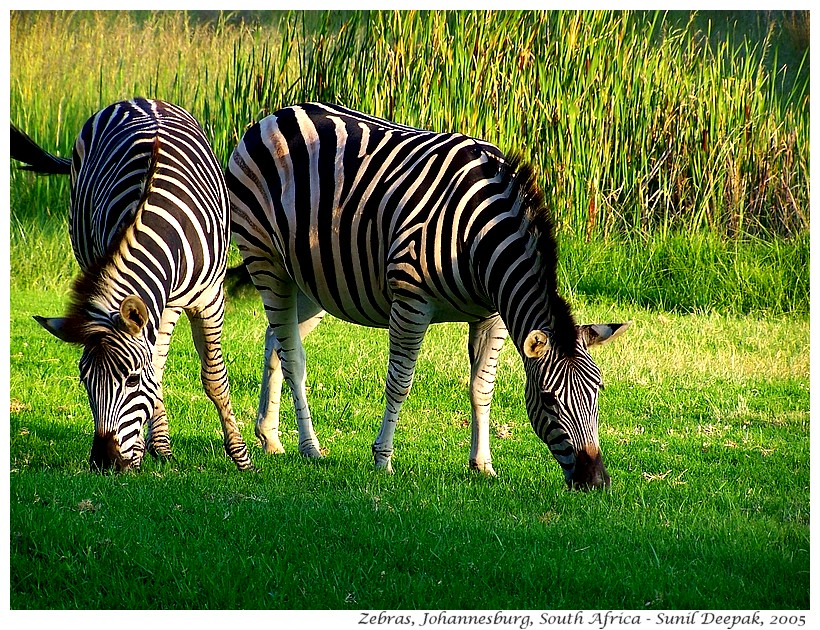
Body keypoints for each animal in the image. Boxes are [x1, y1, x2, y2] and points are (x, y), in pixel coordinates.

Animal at [11, 97, 251, 474]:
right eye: (84, 380)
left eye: (132, 379)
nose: (105, 463)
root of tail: (140, 99)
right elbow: (157, 372)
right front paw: (139, 452)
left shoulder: (211, 298)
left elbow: (214, 378)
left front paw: (241, 457)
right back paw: (159, 445)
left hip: (171, 305)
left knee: (162, 359)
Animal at [224, 102, 628, 488]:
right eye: (547, 398)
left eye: (599, 391)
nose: (595, 482)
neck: (480, 239)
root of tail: (276, 115)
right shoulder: (411, 302)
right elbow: (399, 384)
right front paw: (382, 459)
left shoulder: (492, 315)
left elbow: (482, 388)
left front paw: (483, 464)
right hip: (266, 260)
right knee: (293, 356)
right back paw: (309, 446)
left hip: (313, 280)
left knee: (275, 341)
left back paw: (270, 437)